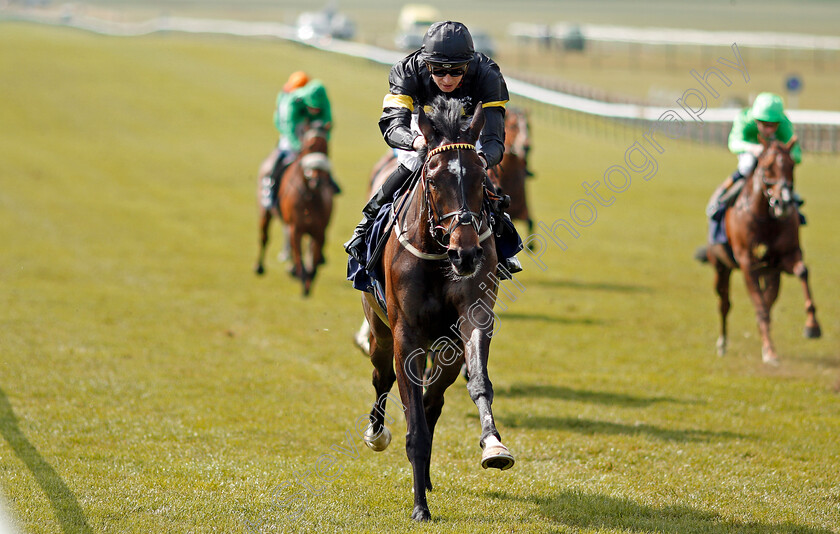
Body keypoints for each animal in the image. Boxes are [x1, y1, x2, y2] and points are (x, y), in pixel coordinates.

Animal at [254, 125, 334, 298]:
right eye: (309, 146)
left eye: (326, 148)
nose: (318, 180)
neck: (310, 195)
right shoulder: (296, 228)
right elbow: (299, 257)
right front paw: (303, 282)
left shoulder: (319, 231)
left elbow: (313, 261)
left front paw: (309, 281)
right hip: (265, 211)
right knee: (264, 237)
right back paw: (259, 267)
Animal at [354, 99, 512, 524]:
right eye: (435, 178)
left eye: (481, 178)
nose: (466, 252)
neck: (440, 254)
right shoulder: (406, 335)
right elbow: (414, 422)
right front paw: (419, 509)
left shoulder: (471, 320)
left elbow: (478, 383)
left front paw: (494, 445)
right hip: (380, 330)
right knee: (382, 378)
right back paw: (377, 434)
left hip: (445, 349)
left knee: (432, 401)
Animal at [704, 136, 820, 366]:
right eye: (767, 167)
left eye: (792, 166)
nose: (784, 202)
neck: (767, 218)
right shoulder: (747, 262)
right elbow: (760, 306)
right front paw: (769, 351)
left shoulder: (785, 257)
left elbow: (802, 273)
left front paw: (812, 326)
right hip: (721, 266)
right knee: (724, 303)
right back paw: (722, 344)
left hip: (770, 273)